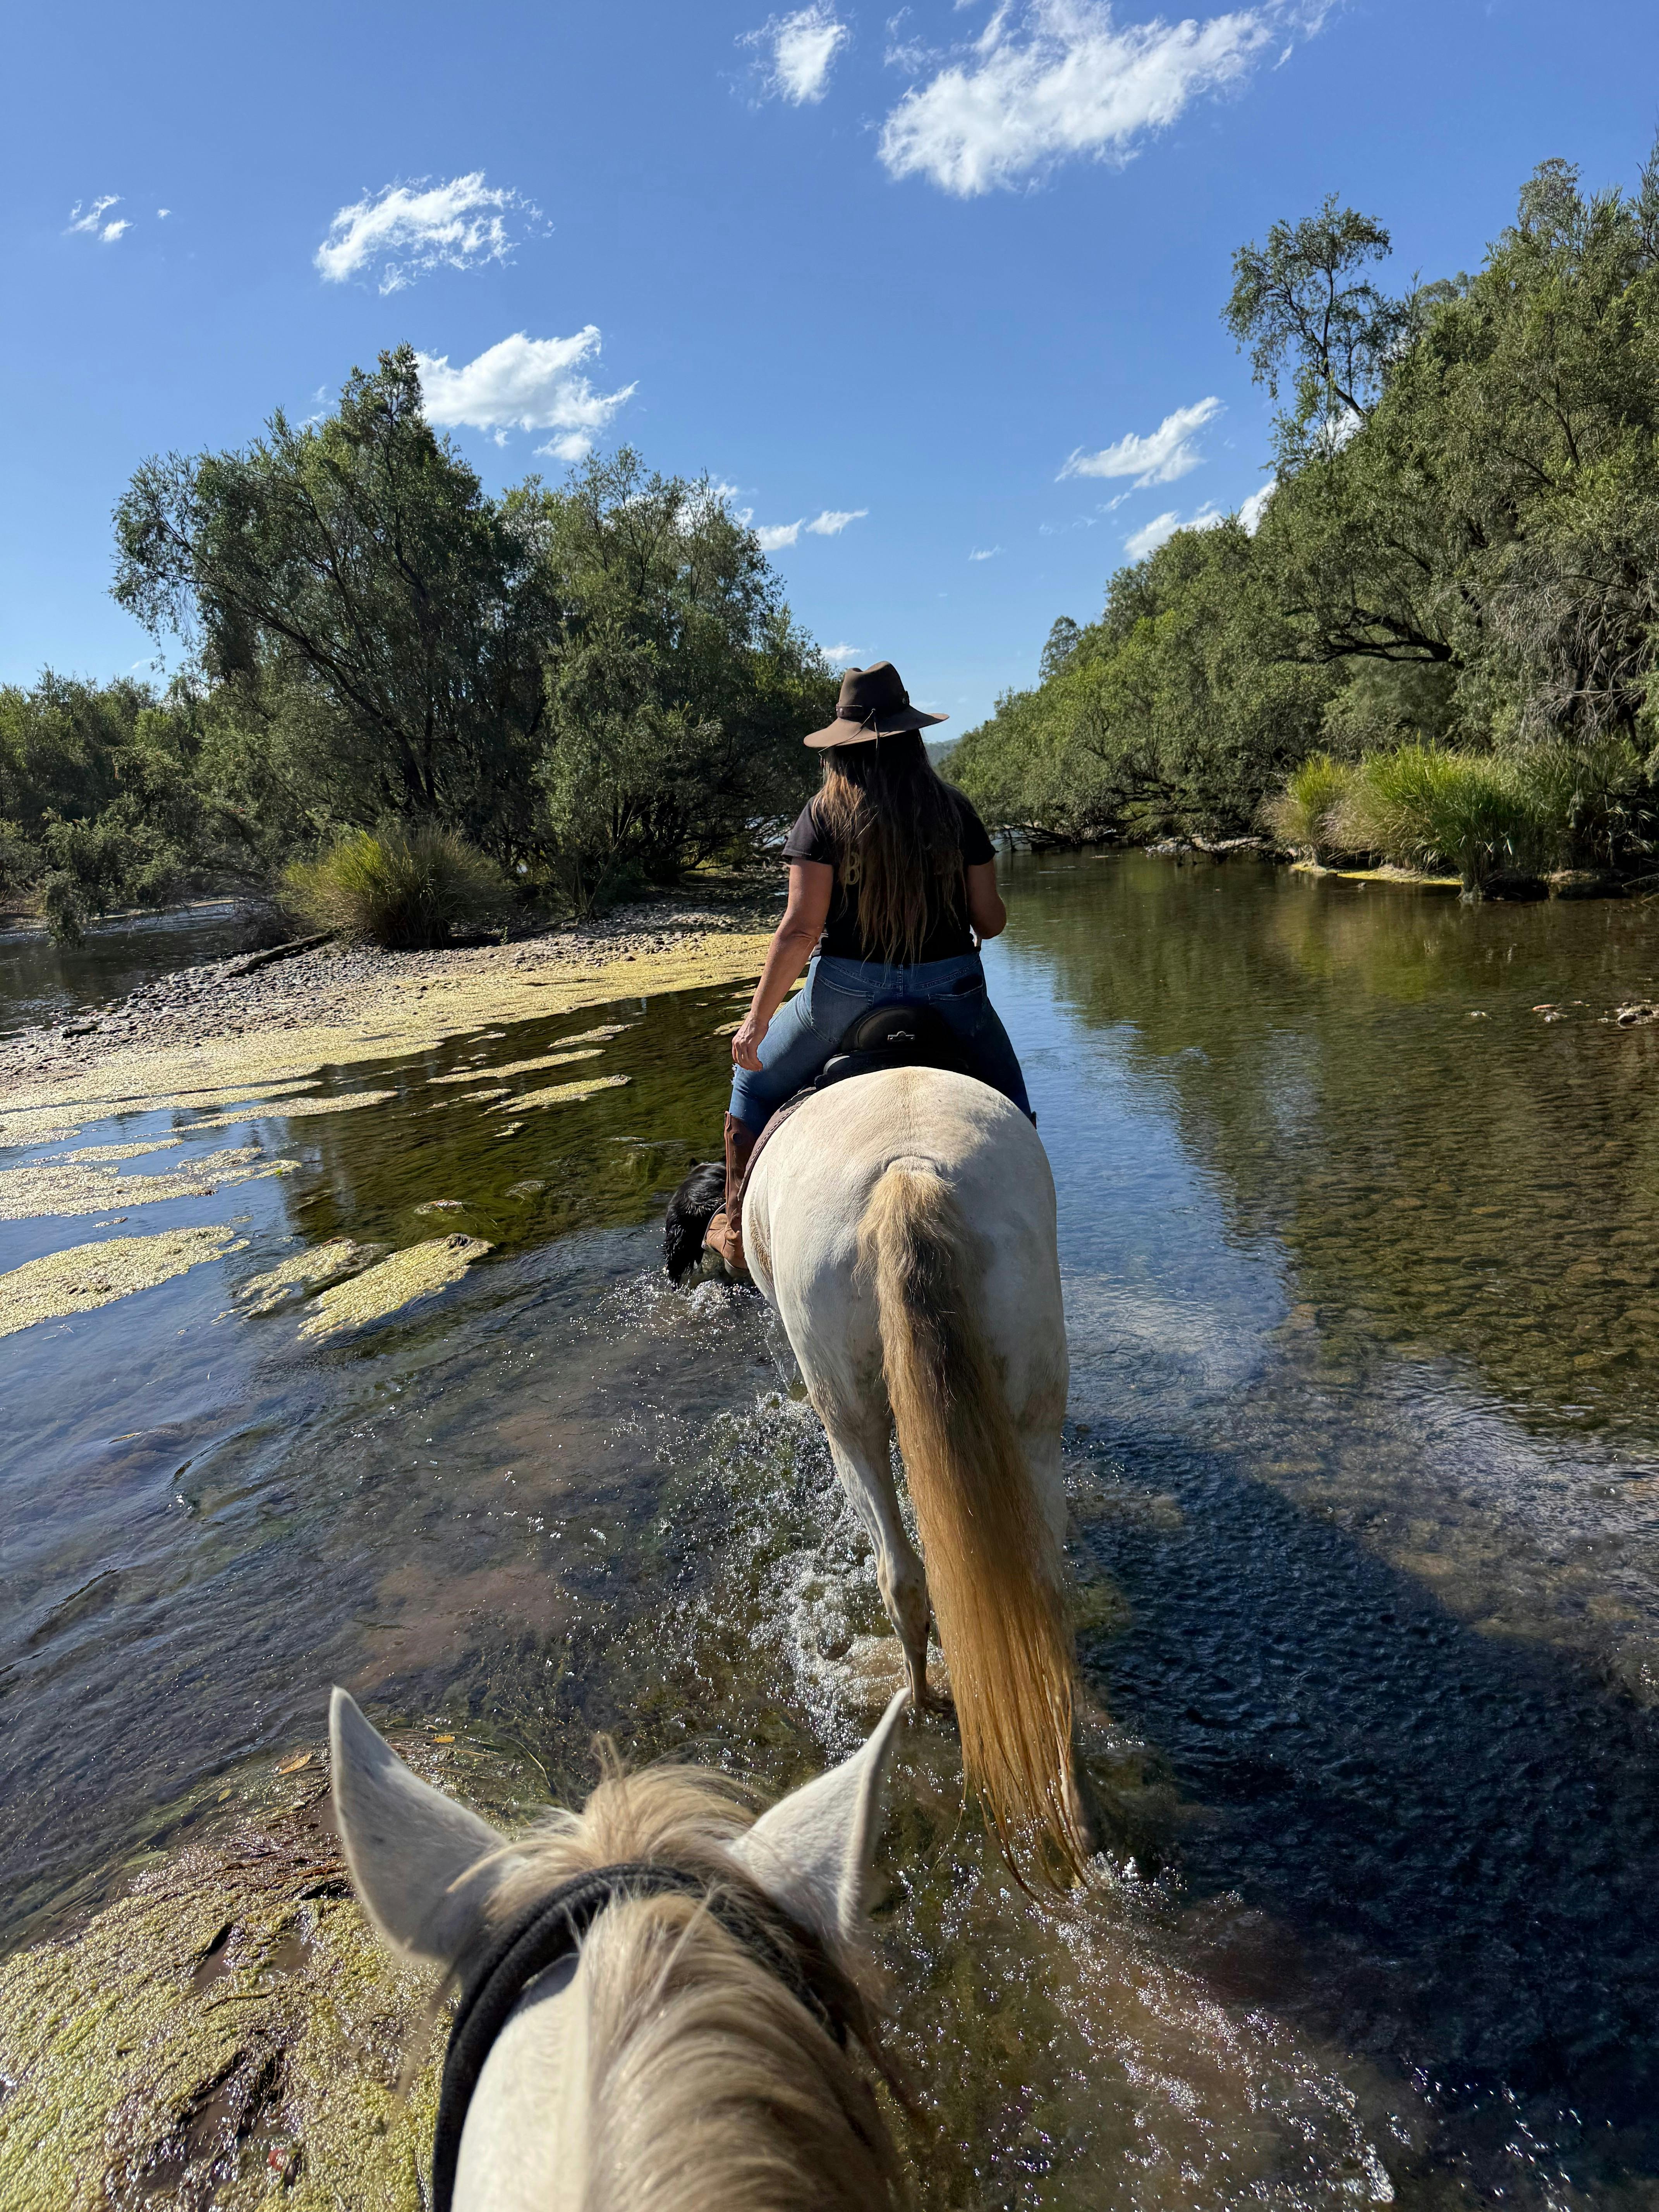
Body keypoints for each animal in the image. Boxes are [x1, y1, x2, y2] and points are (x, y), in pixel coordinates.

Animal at [669, 1065, 1087, 1884]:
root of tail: (907, 1170)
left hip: (850, 1417)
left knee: (900, 1577)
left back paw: (919, 1700)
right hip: (1032, 1405)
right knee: (1038, 1579)